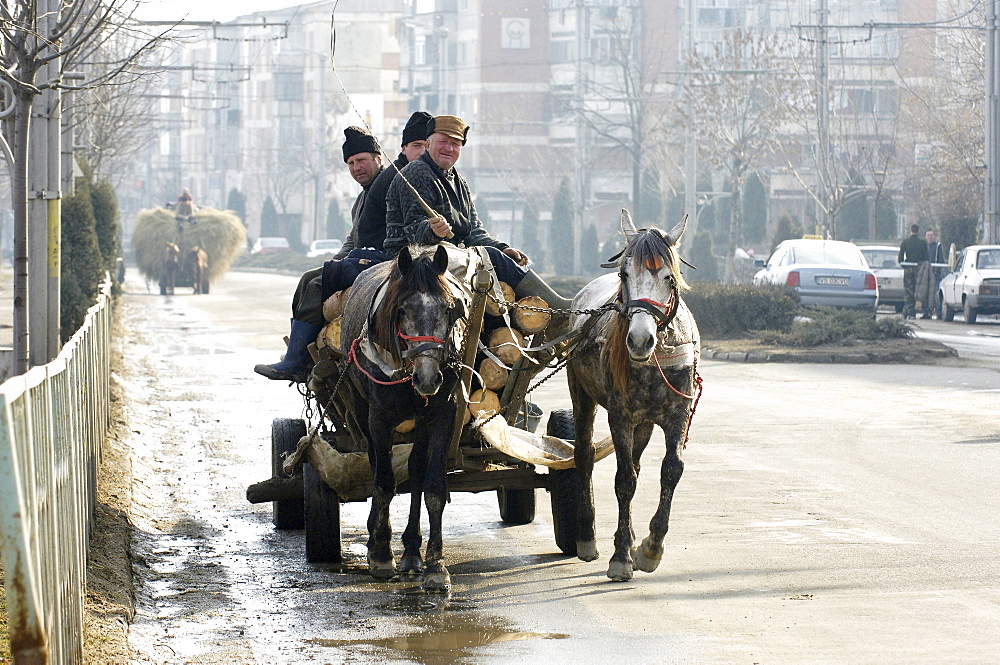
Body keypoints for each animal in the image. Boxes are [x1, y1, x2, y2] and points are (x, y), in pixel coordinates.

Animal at [340, 245, 468, 592]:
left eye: (450, 309)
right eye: (402, 311)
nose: (428, 378)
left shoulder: (443, 413)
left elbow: (433, 487)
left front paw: (436, 565)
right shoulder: (379, 417)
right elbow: (384, 484)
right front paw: (382, 555)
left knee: (415, 471)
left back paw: (411, 552)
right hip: (360, 407)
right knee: (375, 462)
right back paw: (377, 539)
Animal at [568, 210, 700, 580]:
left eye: (669, 277)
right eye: (625, 274)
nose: (640, 340)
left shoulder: (677, 413)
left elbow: (671, 470)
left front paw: (650, 548)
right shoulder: (620, 414)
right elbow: (624, 480)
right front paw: (621, 556)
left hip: (645, 422)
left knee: (638, 463)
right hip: (580, 392)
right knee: (584, 456)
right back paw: (587, 537)